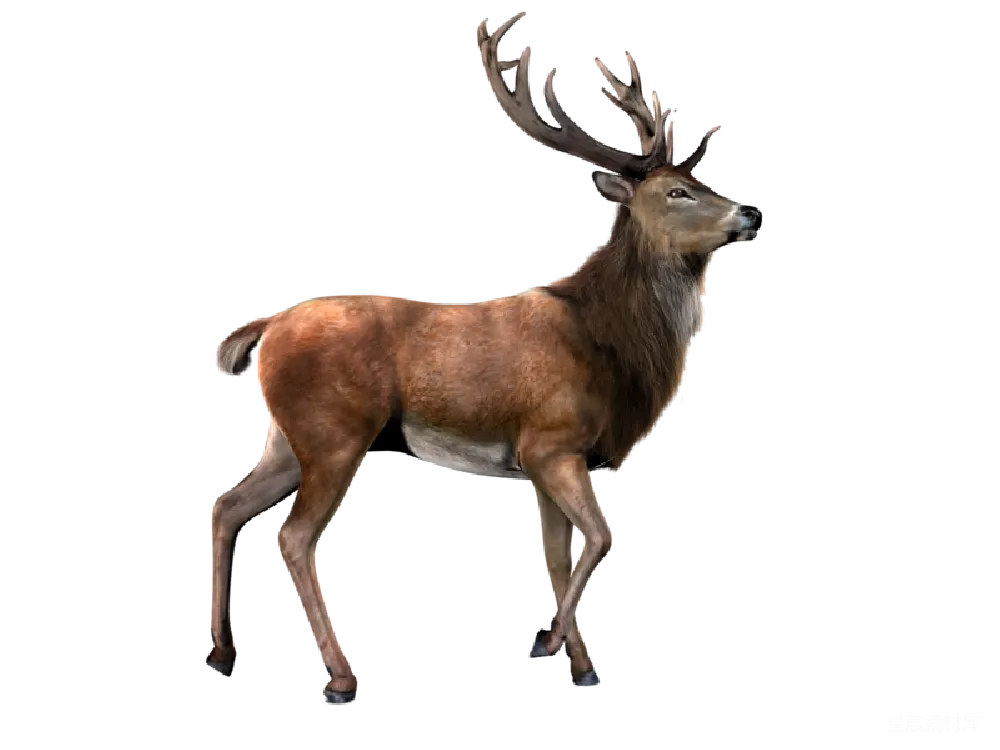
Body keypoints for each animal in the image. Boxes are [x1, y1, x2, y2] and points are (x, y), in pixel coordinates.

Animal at [205, 13, 757, 712]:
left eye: (705, 183)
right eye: (678, 191)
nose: (749, 214)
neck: (611, 347)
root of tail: (268, 327)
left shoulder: (548, 461)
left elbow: (559, 555)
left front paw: (582, 664)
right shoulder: (550, 440)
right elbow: (602, 538)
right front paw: (549, 643)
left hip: (283, 434)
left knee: (226, 506)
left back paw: (221, 652)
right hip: (335, 432)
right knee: (294, 536)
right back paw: (340, 676)